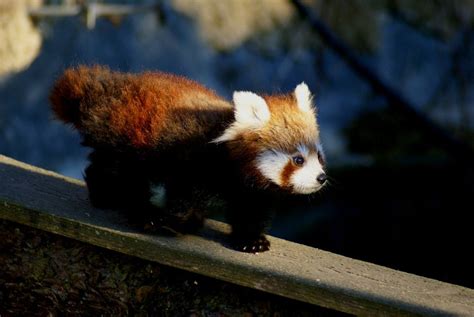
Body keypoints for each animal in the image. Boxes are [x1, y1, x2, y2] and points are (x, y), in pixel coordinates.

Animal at [50, 66, 328, 252]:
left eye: (318, 156)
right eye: (298, 159)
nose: (321, 178)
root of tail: (113, 86)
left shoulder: (252, 192)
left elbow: (250, 212)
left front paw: (251, 240)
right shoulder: (191, 161)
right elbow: (180, 197)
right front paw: (174, 222)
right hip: (129, 141)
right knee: (120, 173)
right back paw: (120, 203)